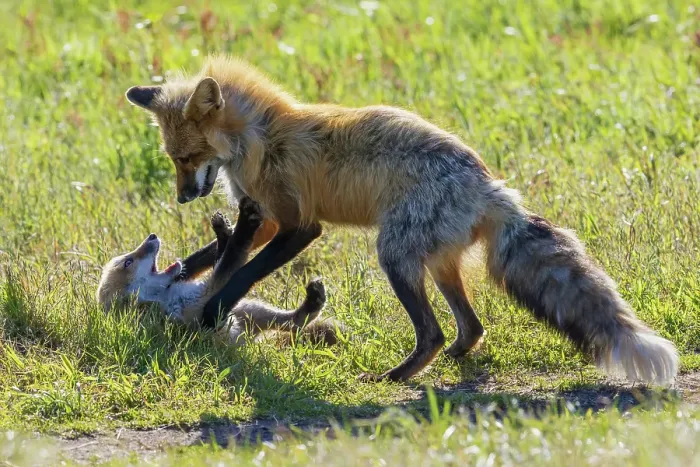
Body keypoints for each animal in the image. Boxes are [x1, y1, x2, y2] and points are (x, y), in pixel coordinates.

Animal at [96, 197, 340, 346]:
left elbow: (220, 257)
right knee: (296, 323)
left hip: (248, 308)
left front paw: (223, 231)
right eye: (128, 262)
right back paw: (314, 301)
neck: (167, 298)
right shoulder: (203, 298)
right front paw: (244, 226)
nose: (152, 236)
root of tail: (245, 341)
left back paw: (313, 301)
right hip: (240, 311)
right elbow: (231, 257)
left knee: (293, 322)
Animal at [125, 55, 679, 385]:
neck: (261, 139)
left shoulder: (299, 224)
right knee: (471, 326)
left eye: (187, 157)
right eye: (172, 158)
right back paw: (454, 359)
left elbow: (243, 274)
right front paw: (186, 272)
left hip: (393, 255)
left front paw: (214, 311)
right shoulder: (263, 218)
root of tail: (491, 185)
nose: (181, 199)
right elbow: (215, 255)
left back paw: (394, 377)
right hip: (436, 264)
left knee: (432, 331)